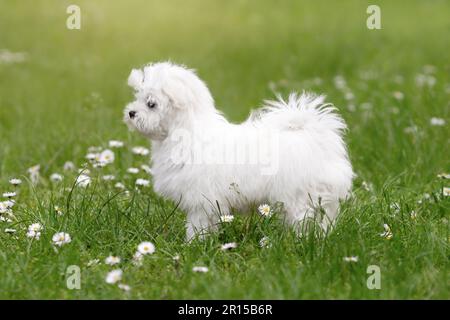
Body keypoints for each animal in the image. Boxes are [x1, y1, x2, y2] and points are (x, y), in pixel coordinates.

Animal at [124, 62, 356, 240]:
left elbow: (197, 225)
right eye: (138, 98)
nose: (131, 113)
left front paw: (192, 244)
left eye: (151, 104)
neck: (185, 132)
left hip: (301, 197)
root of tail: (317, 138)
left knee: (308, 220)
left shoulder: (202, 200)